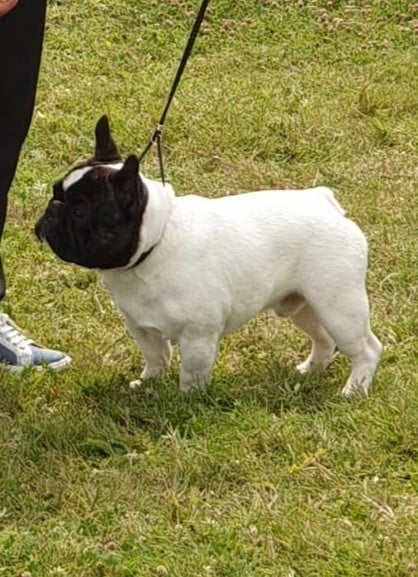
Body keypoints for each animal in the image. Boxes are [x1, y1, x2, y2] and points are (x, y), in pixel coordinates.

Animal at [36, 117, 382, 396]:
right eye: (55, 192)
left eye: (80, 211)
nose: (53, 210)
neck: (153, 248)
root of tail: (325, 202)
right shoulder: (141, 327)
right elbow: (156, 357)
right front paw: (147, 383)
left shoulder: (198, 337)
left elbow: (192, 373)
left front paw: (186, 401)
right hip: (304, 305)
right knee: (324, 339)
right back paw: (310, 370)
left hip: (338, 305)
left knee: (366, 348)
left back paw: (353, 390)